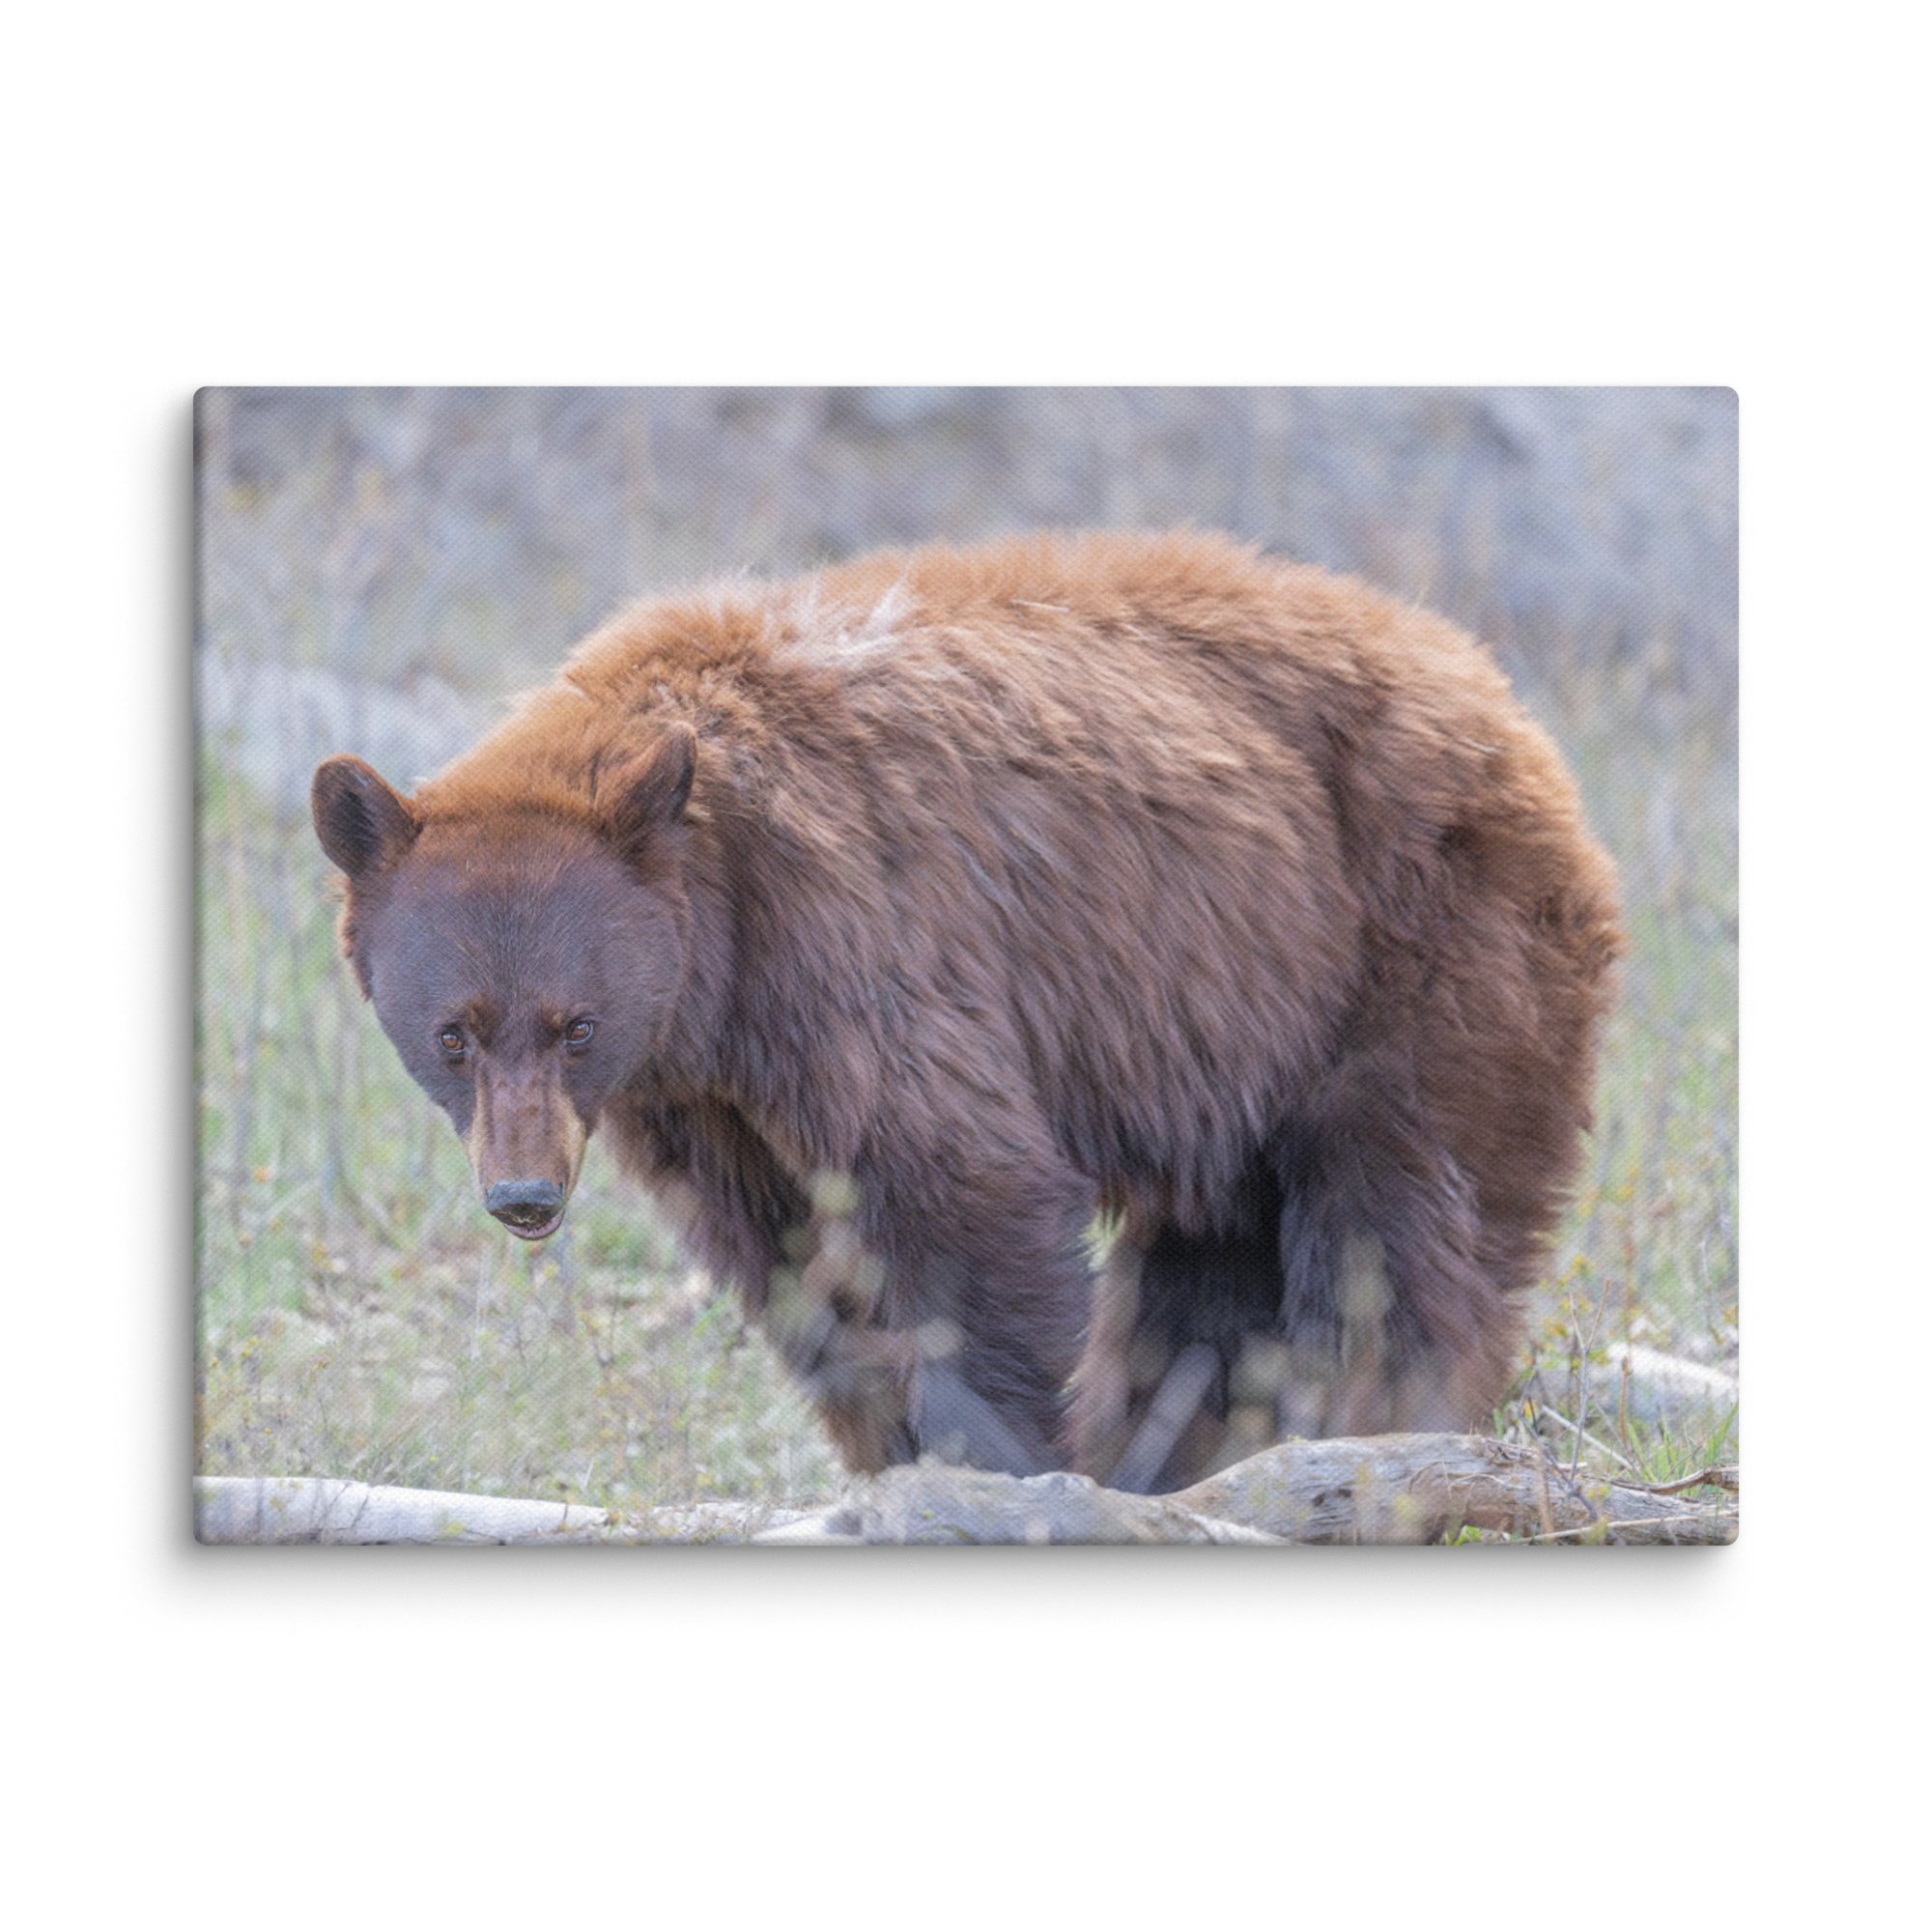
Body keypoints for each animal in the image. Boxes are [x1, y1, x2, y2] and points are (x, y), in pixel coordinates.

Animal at [311, 531, 1621, 1491]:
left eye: (573, 1024)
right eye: (453, 1033)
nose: (523, 1195)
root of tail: (1496, 691)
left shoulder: (854, 939)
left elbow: (958, 1191)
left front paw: (995, 1458)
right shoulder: (705, 1094)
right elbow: (792, 1256)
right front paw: (893, 1450)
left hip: (1413, 944)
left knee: (1395, 1220)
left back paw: (1363, 1426)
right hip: (1237, 1032)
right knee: (1211, 1262)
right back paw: (1184, 1448)